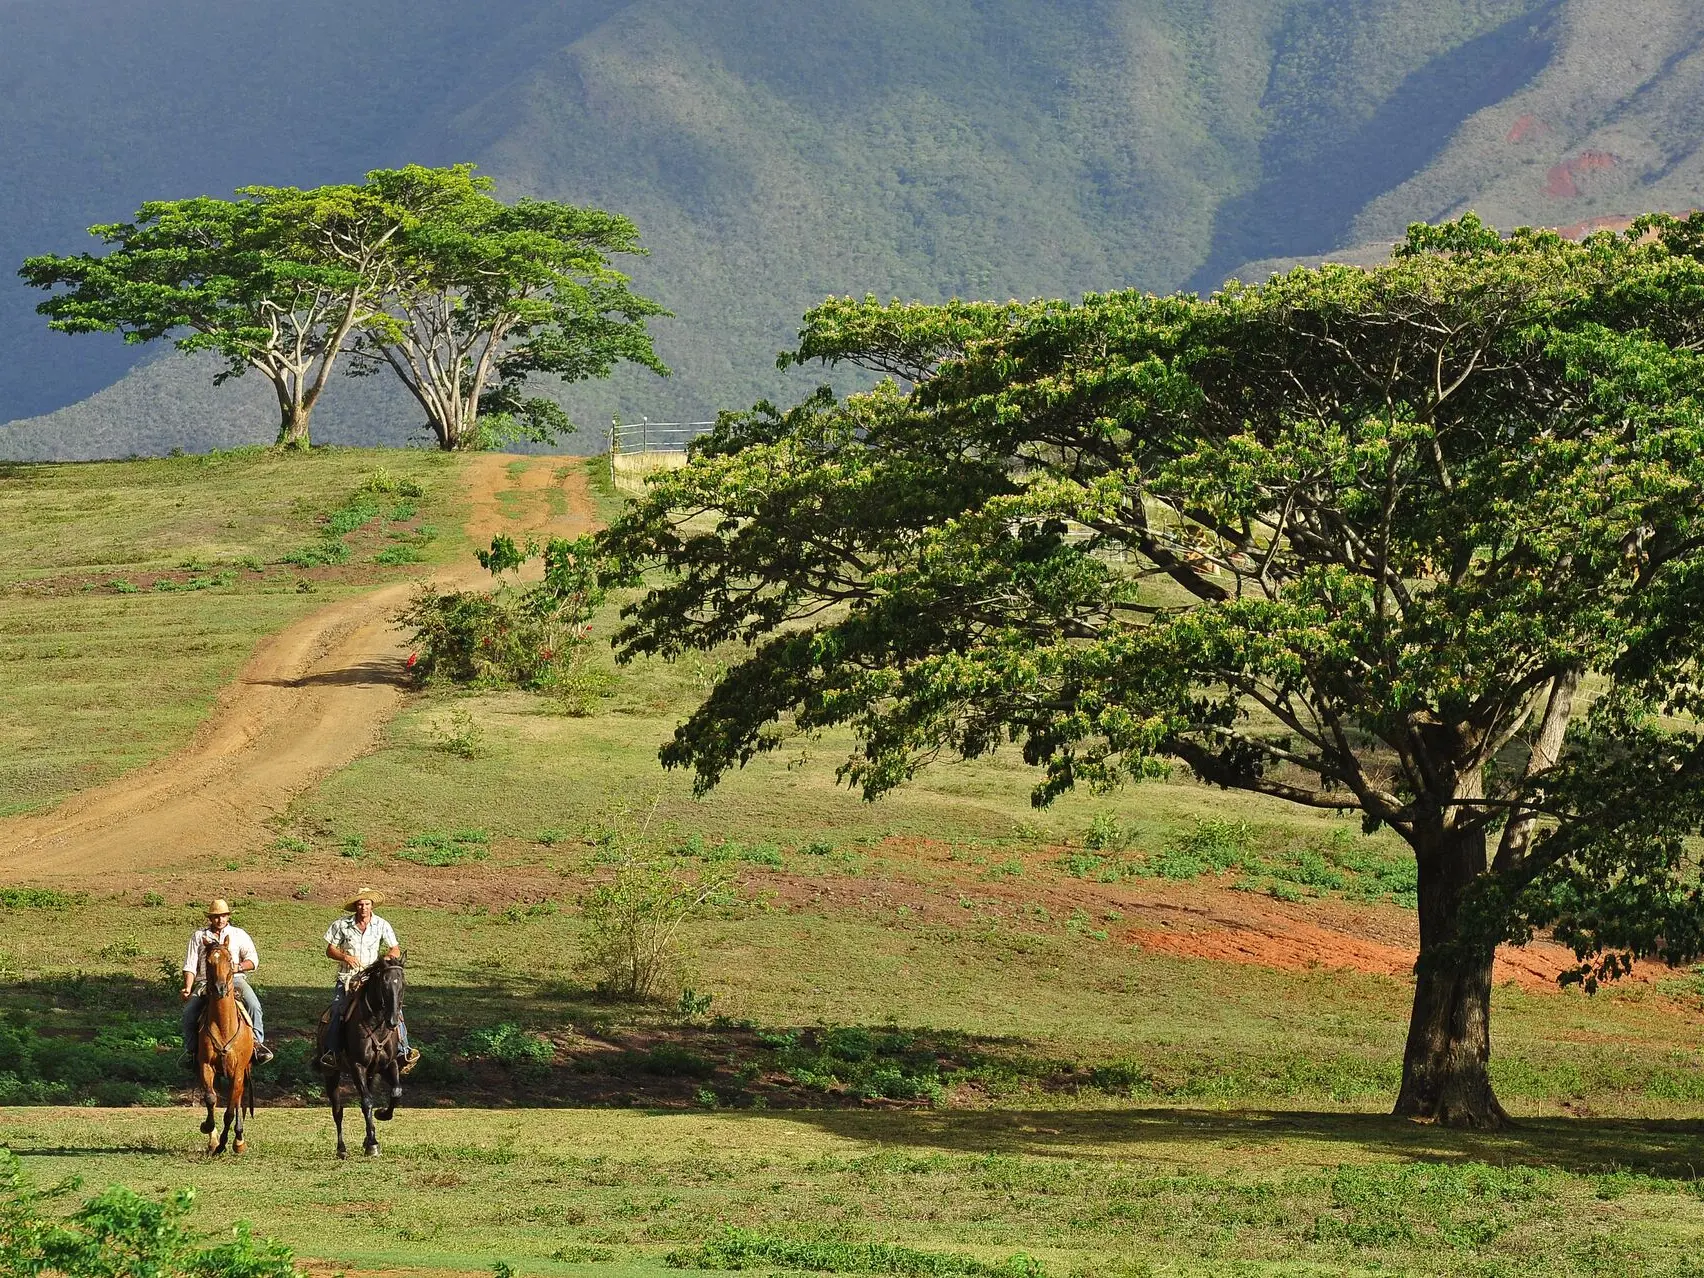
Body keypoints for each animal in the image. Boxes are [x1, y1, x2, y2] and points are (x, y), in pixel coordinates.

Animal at [195, 940, 253, 1158]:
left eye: (229, 959)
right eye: (209, 961)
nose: (219, 988)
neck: (223, 1027)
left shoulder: (238, 1071)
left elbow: (229, 1111)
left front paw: (223, 1144)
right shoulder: (205, 1065)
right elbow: (210, 1098)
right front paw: (208, 1129)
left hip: (243, 1072)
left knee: (238, 1100)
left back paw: (238, 1140)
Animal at [318, 961, 403, 1158]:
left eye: (402, 982)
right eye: (384, 982)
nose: (393, 1021)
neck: (377, 1025)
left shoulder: (389, 1064)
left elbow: (396, 1092)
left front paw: (382, 1114)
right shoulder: (358, 1066)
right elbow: (366, 1102)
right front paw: (373, 1143)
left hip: (373, 1074)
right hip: (331, 1074)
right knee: (337, 1110)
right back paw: (341, 1149)